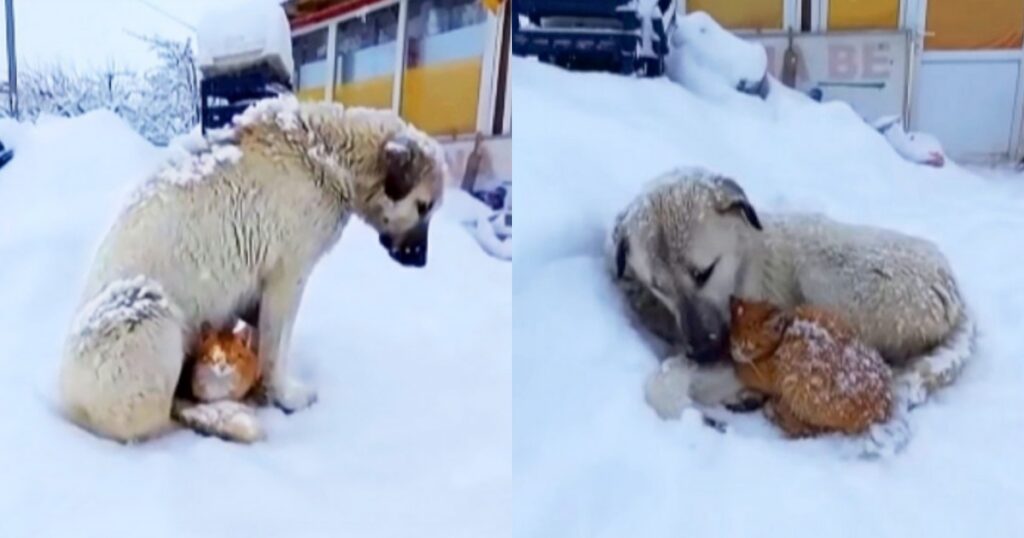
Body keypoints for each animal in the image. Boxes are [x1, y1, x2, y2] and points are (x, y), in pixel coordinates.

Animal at [58, 95, 448, 440]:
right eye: (423, 206)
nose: (421, 261)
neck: (330, 152)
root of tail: (65, 396)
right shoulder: (287, 275)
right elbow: (276, 347)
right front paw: (286, 397)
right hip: (149, 309)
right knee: (157, 417)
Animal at [729, 295, 888, 438]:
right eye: (732, 340)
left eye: (747, 347)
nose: (733, 351)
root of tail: (883, 407)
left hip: (797, 380)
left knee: (812, 429)